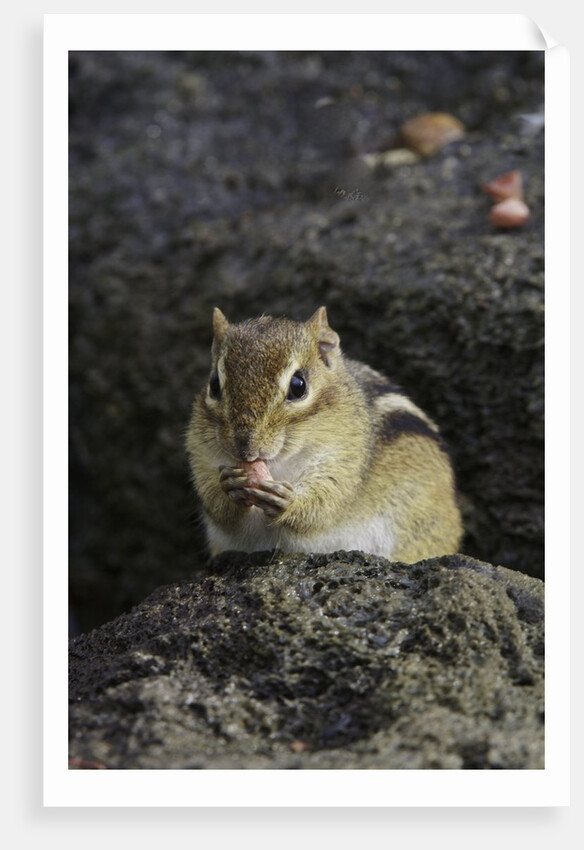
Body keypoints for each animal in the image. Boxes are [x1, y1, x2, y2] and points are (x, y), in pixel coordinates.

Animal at [186, 307, 463, 562]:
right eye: (214, 385)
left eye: (298, 386)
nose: (246, 449)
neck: (279, 463)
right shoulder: (202, 455)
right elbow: (216, 502)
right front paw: (228, 485)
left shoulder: (344, 458)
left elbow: (325, 501)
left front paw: (289, 501)